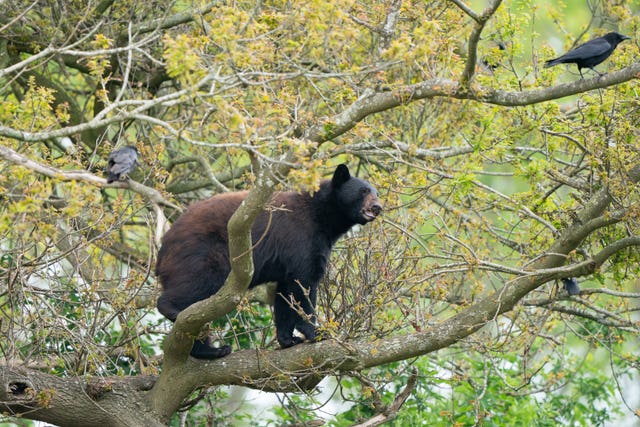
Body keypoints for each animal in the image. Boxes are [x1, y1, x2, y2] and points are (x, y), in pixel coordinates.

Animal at [157, 166, 382, 360]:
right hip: (205, 254)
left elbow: (285, 294)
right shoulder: (301, 237)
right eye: (363, 191)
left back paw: (212, 350)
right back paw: (173, 310)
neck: (322, 215)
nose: (377, 207)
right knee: (197, 286)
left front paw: (287, 338)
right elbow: (304, 285)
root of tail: (164, 246)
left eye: (376, 193)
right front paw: (316, 331)